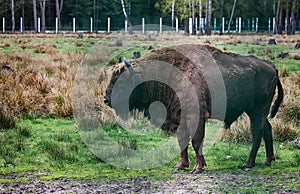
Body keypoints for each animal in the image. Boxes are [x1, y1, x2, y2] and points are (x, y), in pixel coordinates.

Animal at [103, 44, 284, 174]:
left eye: (122, 80)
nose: (106, 99)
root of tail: (272, 66)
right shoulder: (178, 116)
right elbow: (182, 140)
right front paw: (180, 165)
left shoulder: (196, 116)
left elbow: (196, 141)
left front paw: (198, 168)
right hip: (254, 110)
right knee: (267, 129)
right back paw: (267, 161)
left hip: (258, 109)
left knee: (257, 132)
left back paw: (248, 164)